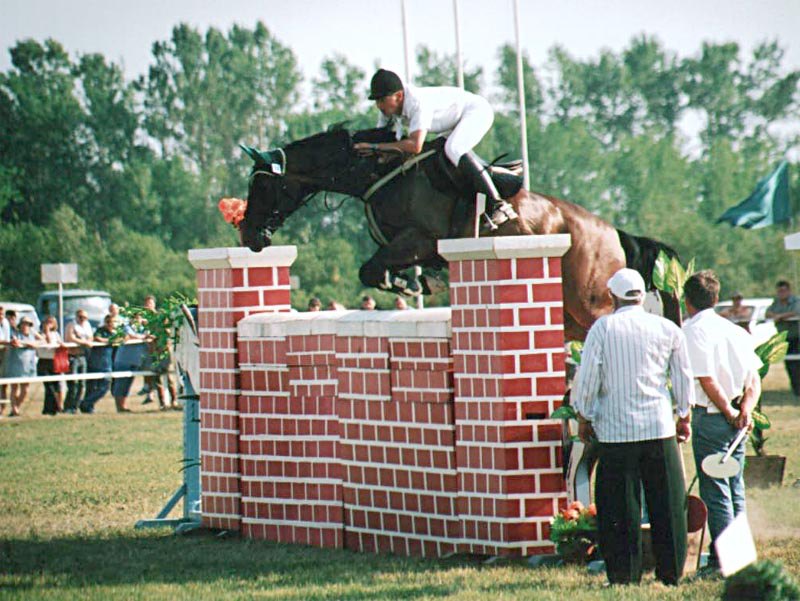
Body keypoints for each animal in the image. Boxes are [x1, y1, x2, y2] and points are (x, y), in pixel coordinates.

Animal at [236, 125, 676, 342]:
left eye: (263, 187)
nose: (249, 237)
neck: (375, 173)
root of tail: (612, 233)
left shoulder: (421, 239)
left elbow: (370, 270)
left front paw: (410, 285)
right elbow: (375, 270)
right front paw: (413, 282)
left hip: (590, 302)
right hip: (568, 313)